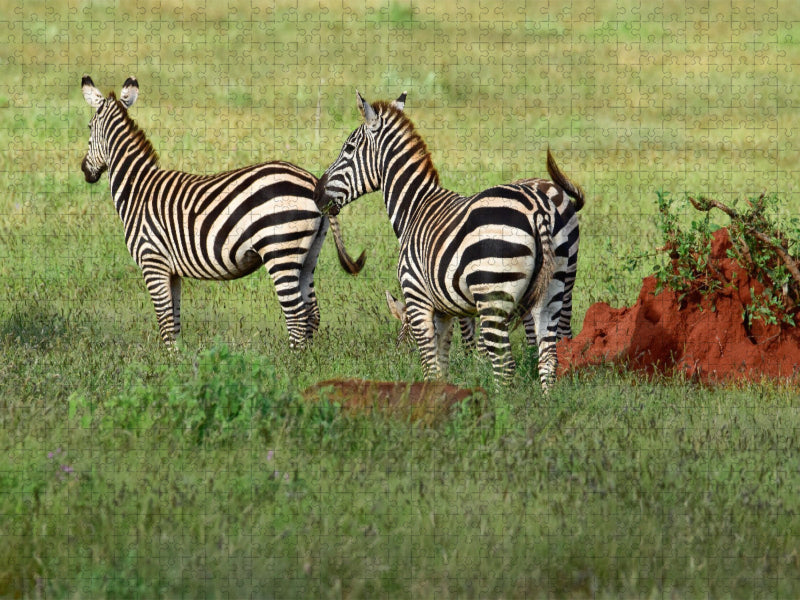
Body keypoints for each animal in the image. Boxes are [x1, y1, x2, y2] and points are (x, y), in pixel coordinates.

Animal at [80, 75, 365, 349]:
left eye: (89, 128)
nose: (85, 171)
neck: (137, 187)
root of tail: (312, 180)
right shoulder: (172, 270)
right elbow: (175, 321)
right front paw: (179, 361)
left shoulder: (153, 261)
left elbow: (165, 322)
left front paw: (169, 361)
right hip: (308, 254)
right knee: (312, 312)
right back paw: (308, 360)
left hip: (280, 250)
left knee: (296, 315)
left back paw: (291, 362)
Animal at [385, 160, 584, 352]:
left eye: (408, 334)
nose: (402, 356)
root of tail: (551, 187)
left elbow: (468, 330)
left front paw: (473, 357)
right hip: (561, 270)